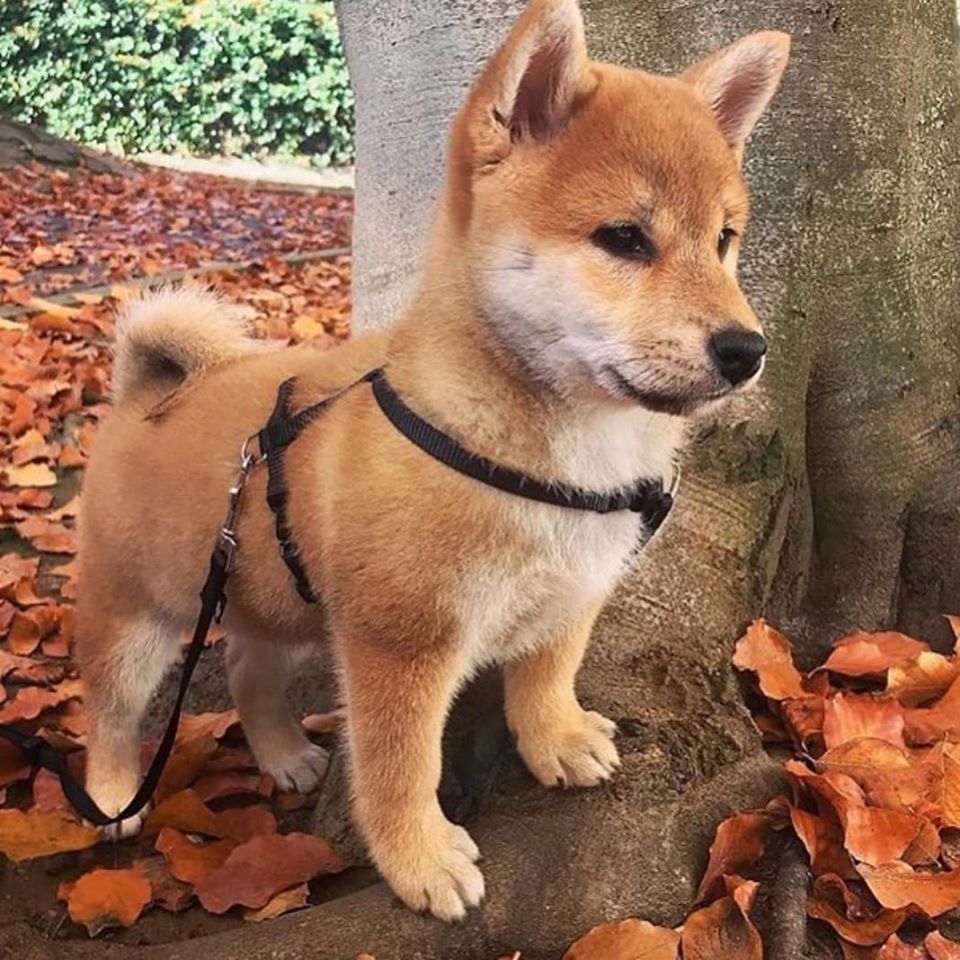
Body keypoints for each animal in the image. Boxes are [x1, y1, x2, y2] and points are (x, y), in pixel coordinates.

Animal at [79, 0, 788, 924]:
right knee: (110, 708)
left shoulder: (571, 593)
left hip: (272, 596)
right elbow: (399, 767)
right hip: (139, 618)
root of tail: (147, 393)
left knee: (246, 671)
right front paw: (419, 859)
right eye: (624, 239)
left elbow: (545, 677)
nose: (747, 349)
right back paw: (111, 792)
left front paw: (557, 740)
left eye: (725, 240)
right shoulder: (401, 644)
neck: (542, 456)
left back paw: (281, 754)